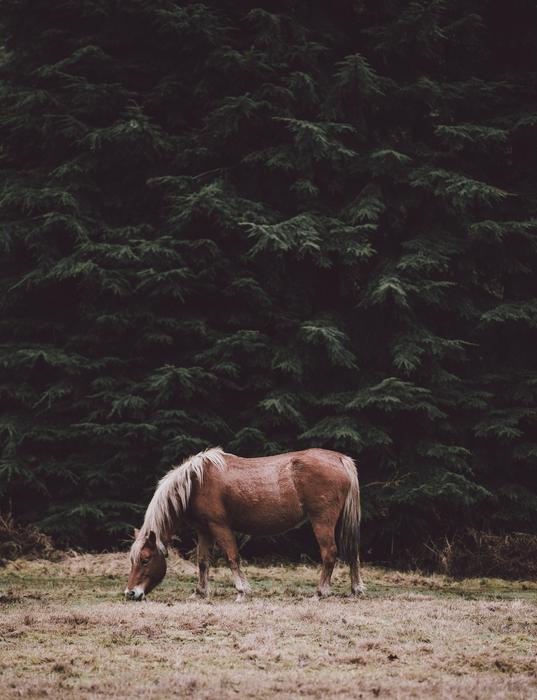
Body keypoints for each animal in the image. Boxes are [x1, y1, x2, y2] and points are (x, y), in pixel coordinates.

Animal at [125, 447, 365, 601]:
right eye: (132, 560)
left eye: (145, 560)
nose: (131, 593)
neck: (196, 482)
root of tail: (340, 459)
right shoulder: (204, 530)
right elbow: (203, 561)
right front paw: (200, 592)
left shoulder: (220, 526)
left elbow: (232, 557)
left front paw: (241, 591)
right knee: (352, 552)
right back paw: (355, 589)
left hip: (322, 520)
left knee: (329, 553)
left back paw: (319, 593)